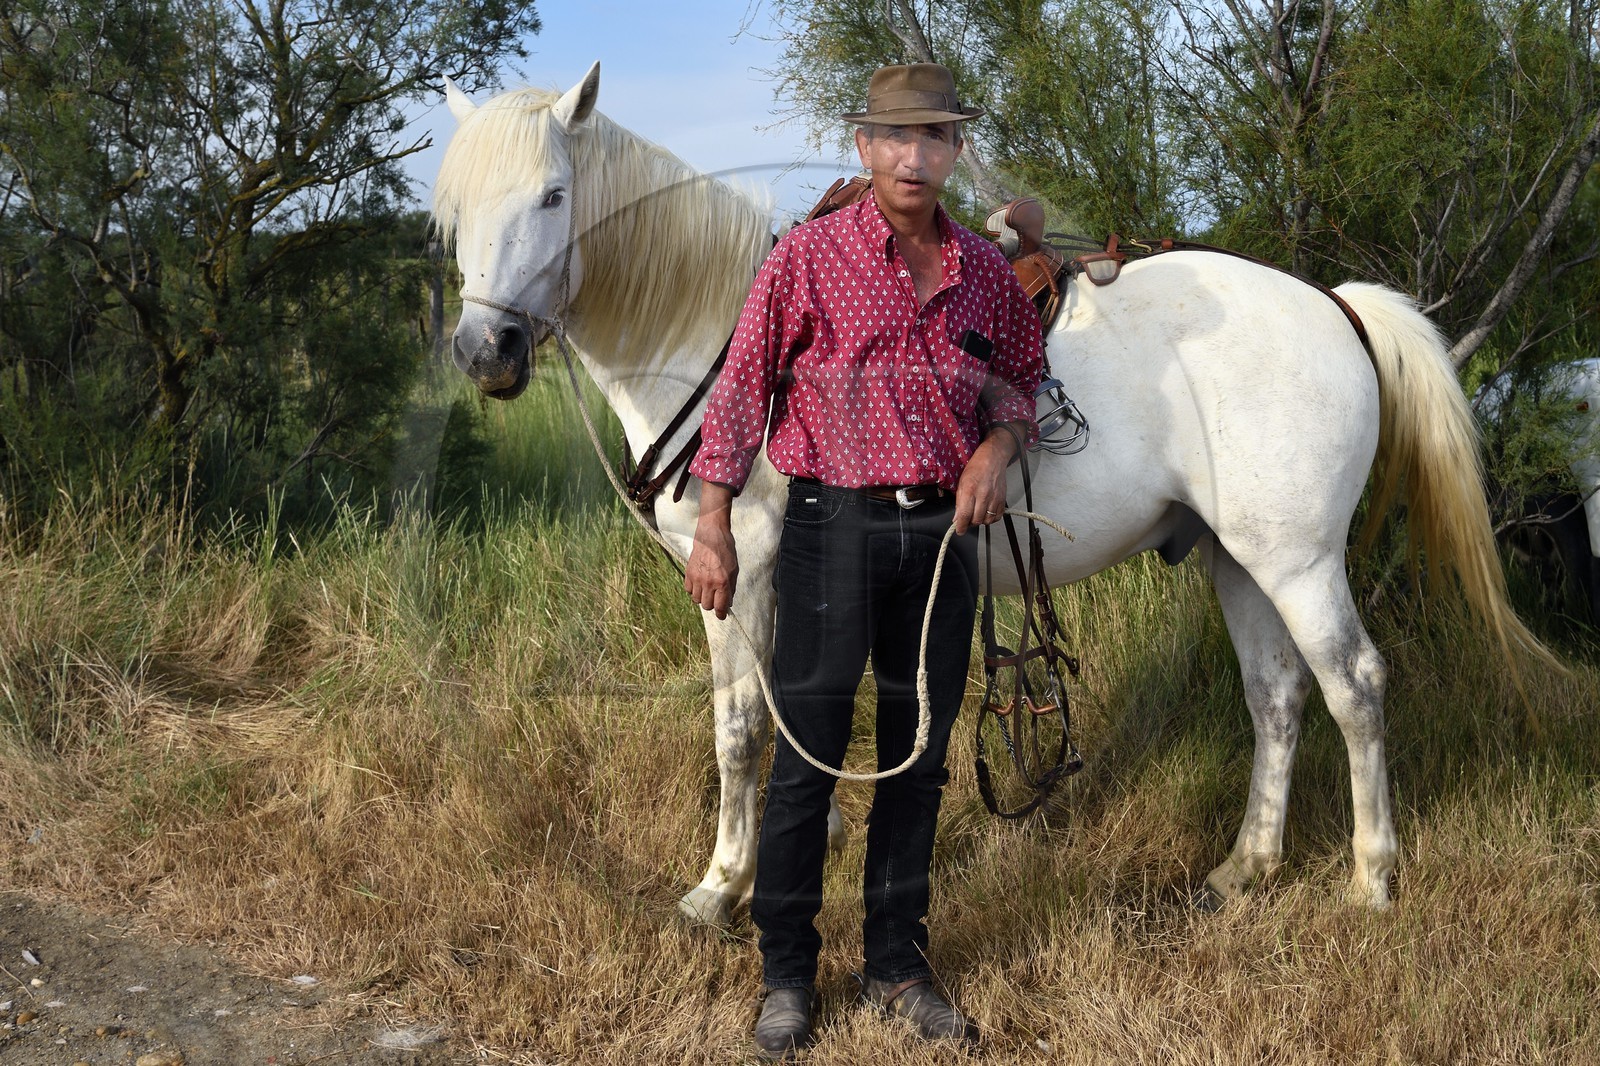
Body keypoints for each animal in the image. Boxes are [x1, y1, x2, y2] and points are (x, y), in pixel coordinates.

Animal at [431, 62, 1550, 926]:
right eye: (454, 213)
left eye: (552, 196)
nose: (485, 351)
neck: (725, 341)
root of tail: (1332, 304)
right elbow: (797, 727)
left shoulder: (742, 580)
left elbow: (741, 729)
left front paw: (721, 888)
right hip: (1236, 556)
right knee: (1276, 695)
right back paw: (1244, 868)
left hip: (1300, 559)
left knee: (1353, 685)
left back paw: (1371, 879)